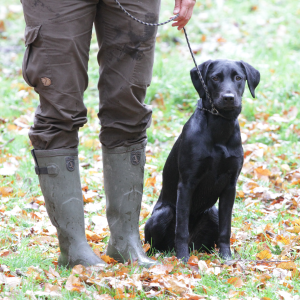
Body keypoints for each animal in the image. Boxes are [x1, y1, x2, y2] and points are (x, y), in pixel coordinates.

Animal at [145, 58, 260, 260]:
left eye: (238, 77)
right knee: (155, 244)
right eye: (215, 77)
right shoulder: (187, 184)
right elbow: (181, 228)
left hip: (212, 213)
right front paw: (183, 259)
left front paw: (226, 257)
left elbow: (226, 228)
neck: (219, 128)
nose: (228, 98)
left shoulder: (230, 185)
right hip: (163, 214)